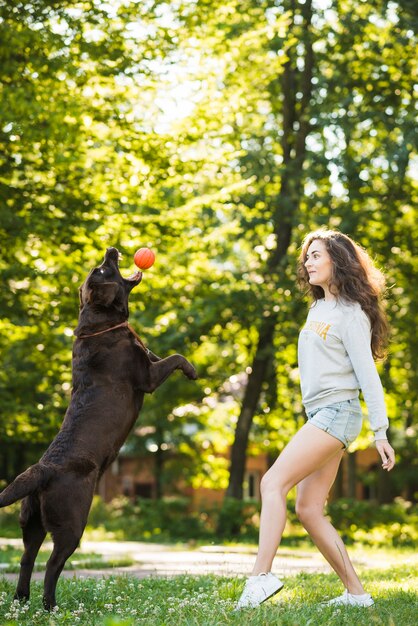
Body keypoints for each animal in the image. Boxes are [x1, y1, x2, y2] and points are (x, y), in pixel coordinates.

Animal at [0, 246, 198, 608]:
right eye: (103, 270)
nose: (112, 249)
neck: (101, 325)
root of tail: (42, 470)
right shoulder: (147, 377)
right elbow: (175, 357)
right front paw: (191, 369)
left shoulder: (147, 359)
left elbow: (158, 352)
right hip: (72, 522)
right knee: (52, 563)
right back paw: (50, 605)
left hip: (31, 521)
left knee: (27, 558)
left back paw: (22, 599)